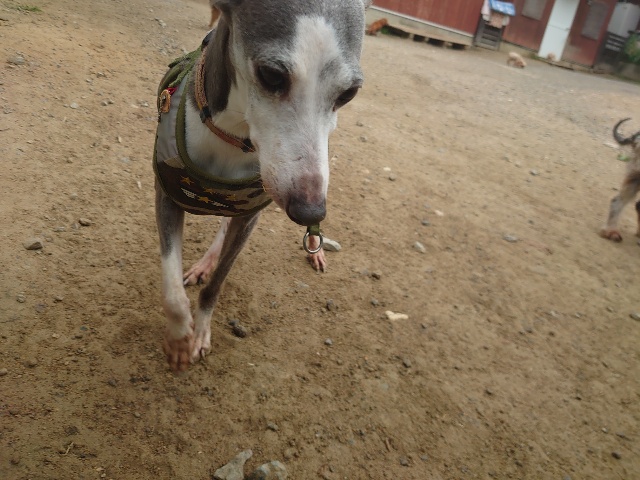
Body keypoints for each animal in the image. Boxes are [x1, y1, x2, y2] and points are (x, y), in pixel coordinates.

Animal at [154, 0, 370, 371]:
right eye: (271, 75)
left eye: (349, 93)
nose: (310, 210)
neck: (231, 136)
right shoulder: (166, 196)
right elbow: (172, 290)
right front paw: (180, 337)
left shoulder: (250, 215)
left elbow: (216, 285)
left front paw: (200, 333)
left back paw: (315, 246)